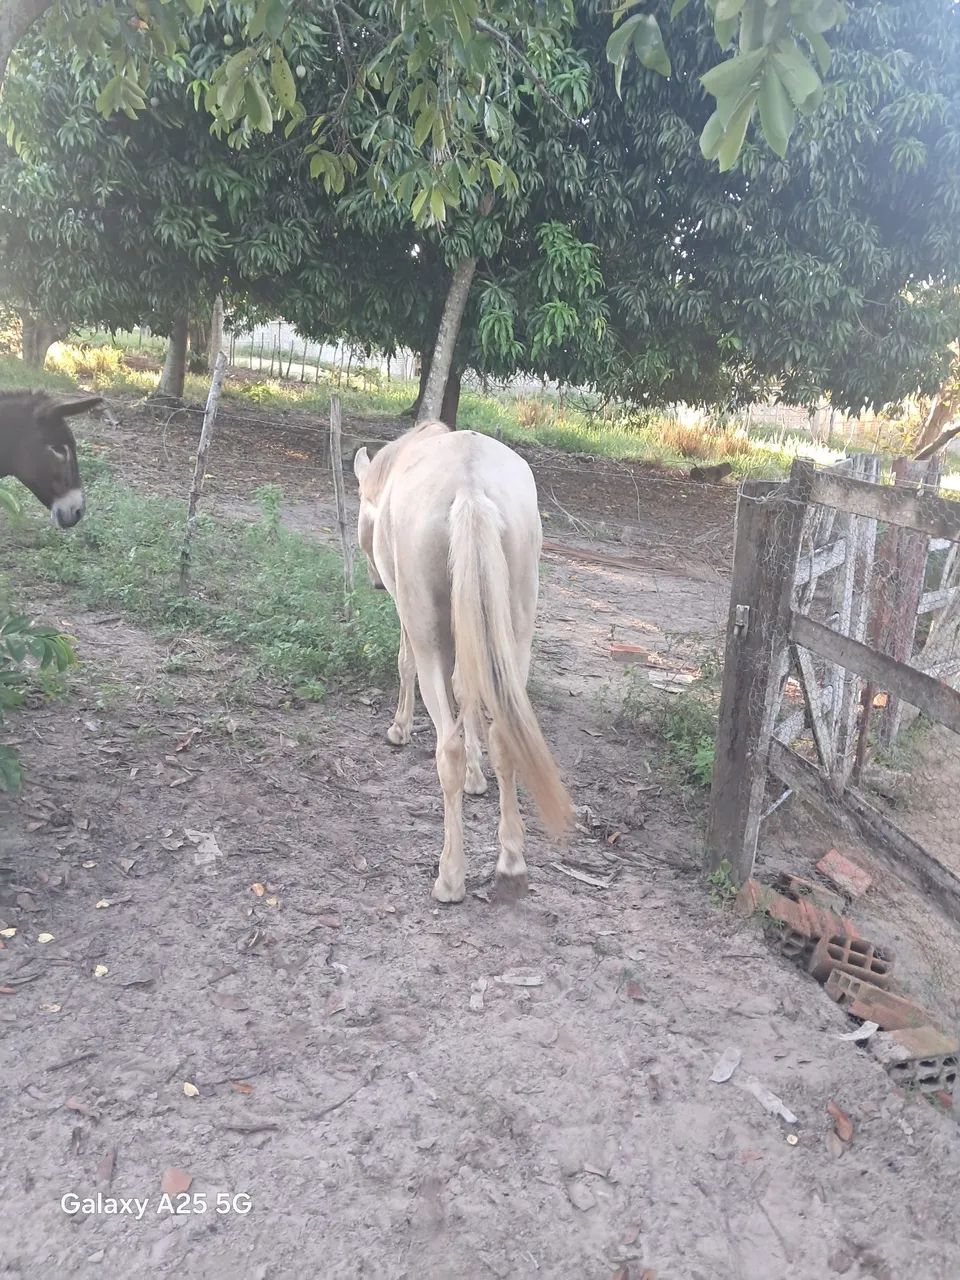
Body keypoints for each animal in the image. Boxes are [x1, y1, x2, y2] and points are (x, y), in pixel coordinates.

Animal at [353, 420, 572, 903]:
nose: (374, 583)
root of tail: (470, 488)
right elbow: (466, 691)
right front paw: (477, 777)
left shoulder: (409, 620)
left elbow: (406, 665)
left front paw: (399, 729)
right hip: (514, 634)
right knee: (504, 735)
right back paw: (510, 864)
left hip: (428, 631)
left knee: (445, 748)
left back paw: (450, 876)